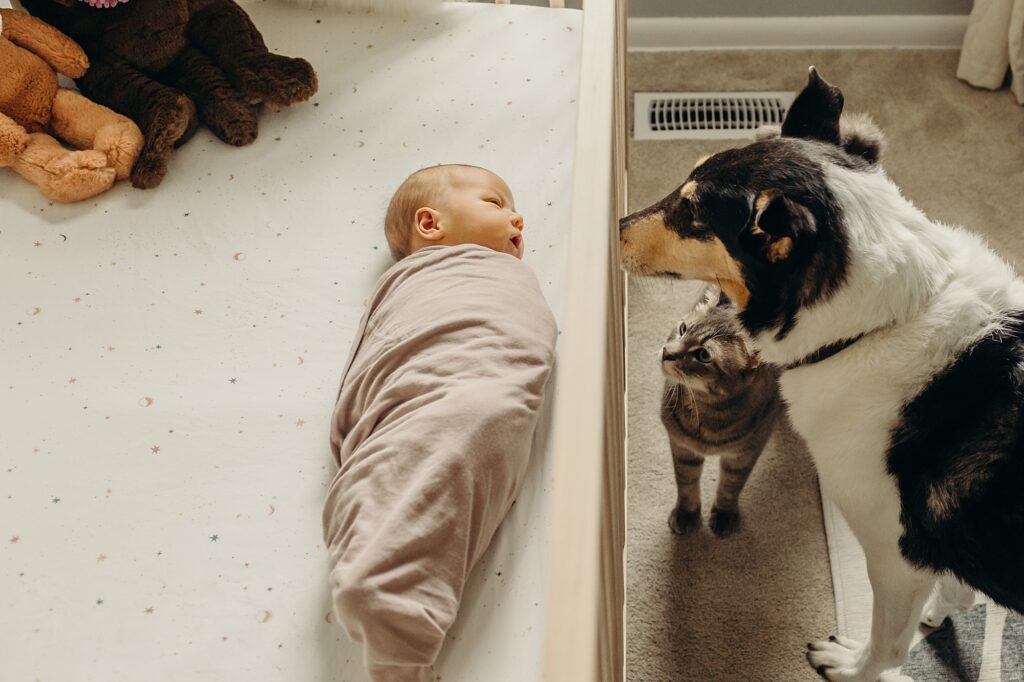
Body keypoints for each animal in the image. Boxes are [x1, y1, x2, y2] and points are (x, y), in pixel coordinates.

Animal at [659, 282, 778, 536]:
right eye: (683, 328)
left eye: (703, 354)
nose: (666, 352)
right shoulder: (682, 446)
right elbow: (686, 482)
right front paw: (687, 514)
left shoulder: (746, 452)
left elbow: (731, 485)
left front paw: (724, 514)